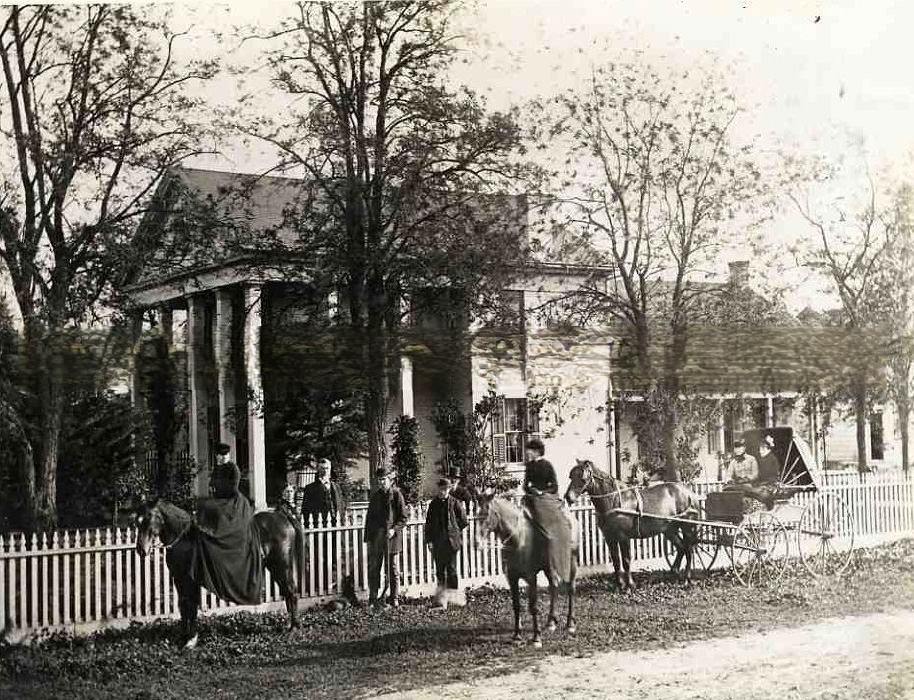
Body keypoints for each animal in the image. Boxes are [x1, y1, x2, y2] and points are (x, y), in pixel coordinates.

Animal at [134, 500, 306, 648]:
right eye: (137, 521)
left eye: (149, 518)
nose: (141, 549)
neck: (184, 538)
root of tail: (282, 516)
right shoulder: (180, 580)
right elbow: (184, 606)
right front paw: (184, 636)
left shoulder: (189, 580)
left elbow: (190, 606)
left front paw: (191, 639)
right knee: (287, 592)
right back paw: (290, 625)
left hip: (282, 565)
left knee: (291, 592)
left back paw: (294, 628)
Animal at [474, 492, 572, 652]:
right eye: (476, 514)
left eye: (487, 513)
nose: (477, 544)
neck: (518, 540)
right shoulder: (512, 578)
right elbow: (516, 606)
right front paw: (517, 635)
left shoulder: (531, 578)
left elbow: (533, 607)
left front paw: (536, 638)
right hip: (549, 569)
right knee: (554, 586)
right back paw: (551, 622)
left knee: (570, 588)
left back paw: (570, 625)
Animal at [564, 460, 700, 592]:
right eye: (571, 476)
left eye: (583, 478)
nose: (568, 497)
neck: (614, 499)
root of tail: (689, 493)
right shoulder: (609, 537)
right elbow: (616, 561)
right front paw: (619, 585)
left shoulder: (623, 537)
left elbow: (626, 560)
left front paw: (630, 585)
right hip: (669, 530)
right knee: (681, 547)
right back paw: (673, 573)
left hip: (687, 527)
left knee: (689, 549)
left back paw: (687, 578)